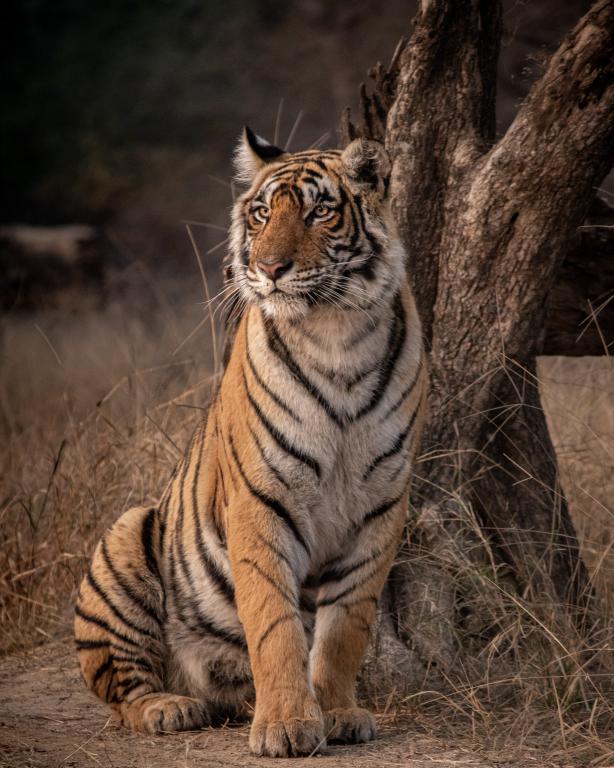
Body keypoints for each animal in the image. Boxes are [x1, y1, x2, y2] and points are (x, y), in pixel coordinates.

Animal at [74, 127, 427, 758]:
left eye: (318, 212)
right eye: (262, 213)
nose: (270, 267)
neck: (337, 334)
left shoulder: (381, 506)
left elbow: (346, 627)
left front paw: (337, 712)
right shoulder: (262, 499)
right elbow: (273, 623)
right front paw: (286, 725)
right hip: (125, 539)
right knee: (122, 692)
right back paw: (170, 707)